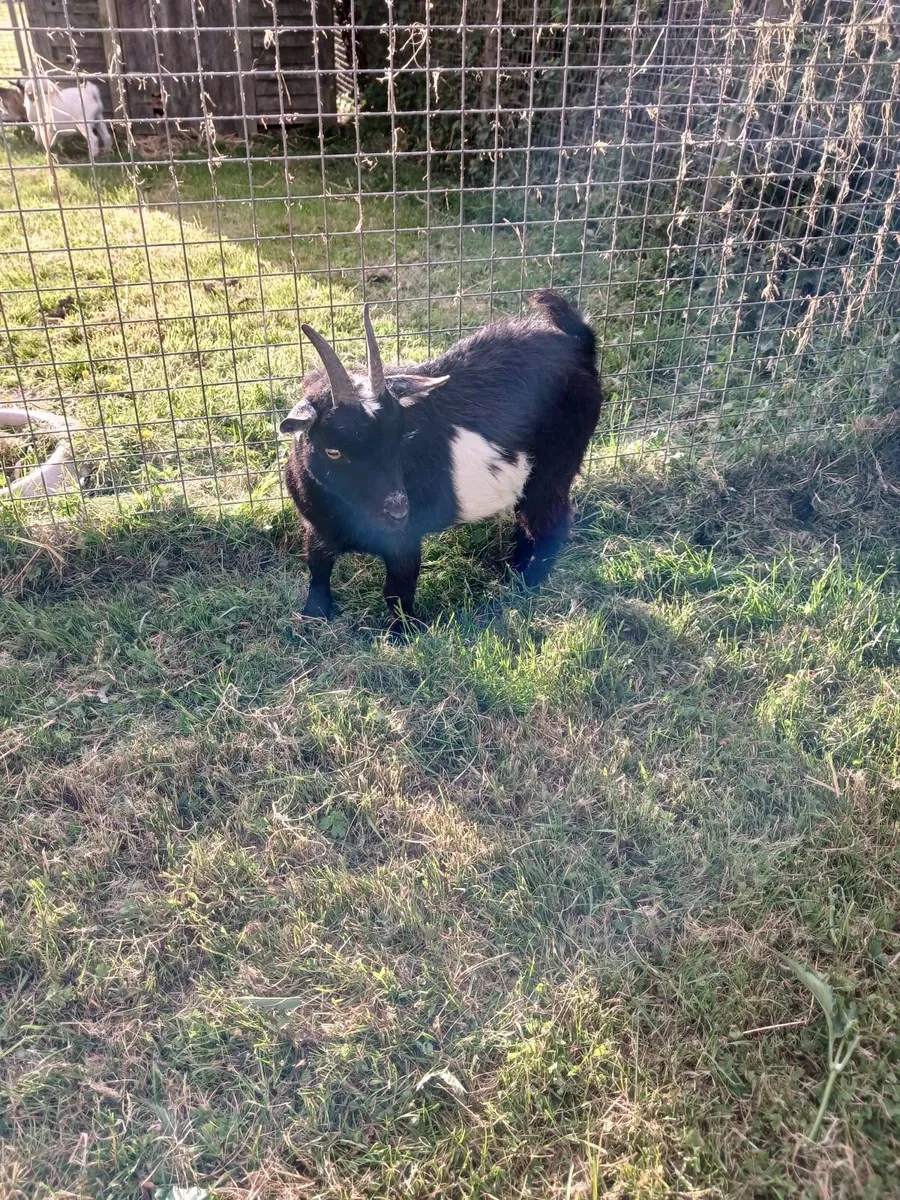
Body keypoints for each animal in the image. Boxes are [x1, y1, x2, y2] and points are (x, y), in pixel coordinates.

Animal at [281, 290, 602, 634]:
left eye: (400, 438)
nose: (398, 511)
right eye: (334, 451)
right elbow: (318, 569)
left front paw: (401, 635)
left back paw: (528, 584)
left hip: (557, 465)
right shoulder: (317, 528)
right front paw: (311, 618)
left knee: (549, 522)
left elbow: (398, 589)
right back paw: (511, 572)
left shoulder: (405, 540)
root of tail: (579, 344)